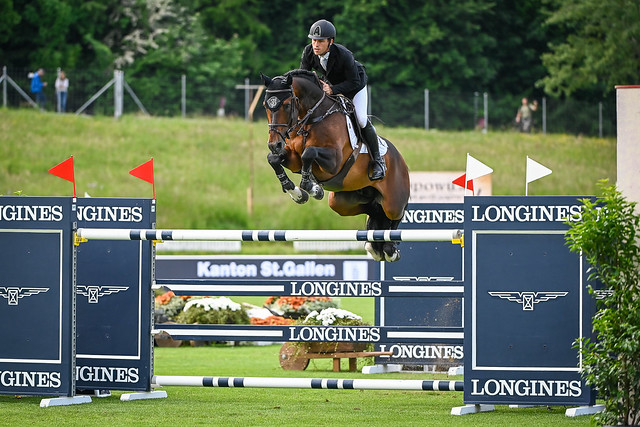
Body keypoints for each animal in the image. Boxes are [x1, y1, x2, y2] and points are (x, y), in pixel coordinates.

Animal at [260, 70, 410, 262]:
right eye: (265, 105)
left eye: (286, 105)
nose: (275, 144)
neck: (312, 118)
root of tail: (401, 161)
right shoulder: (293, 160)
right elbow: (273, 159)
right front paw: (298, 193)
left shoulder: (334, 162)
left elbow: (308, 152)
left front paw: (312, 187)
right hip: (341, 202)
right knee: (375, 210)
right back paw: (374, 245)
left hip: (393, 201)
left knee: (395, 214)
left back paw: (390, 249)